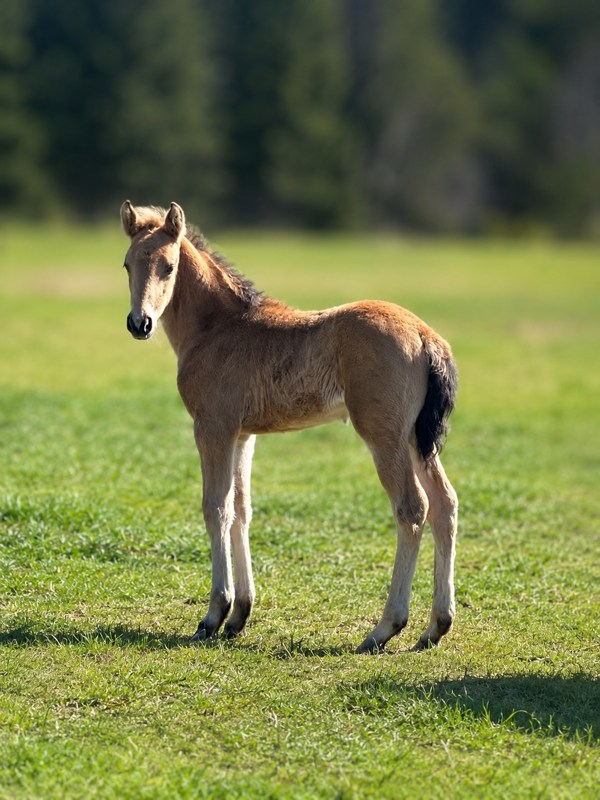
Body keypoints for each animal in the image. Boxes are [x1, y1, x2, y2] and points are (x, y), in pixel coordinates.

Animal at [120, 200, 459, 653]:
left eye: (169, 267)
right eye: (127, 264)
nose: (139, 324)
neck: (218, 327)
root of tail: (425, 335)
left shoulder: (212, 428)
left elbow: (216, 508)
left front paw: (213, 616)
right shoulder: (243, 435)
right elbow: (241, 509)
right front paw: (239, 616)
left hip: (384, 436)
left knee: (412, 508)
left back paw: (384, 628)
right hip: (415, 439)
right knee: (445, 504)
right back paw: (435, 626)